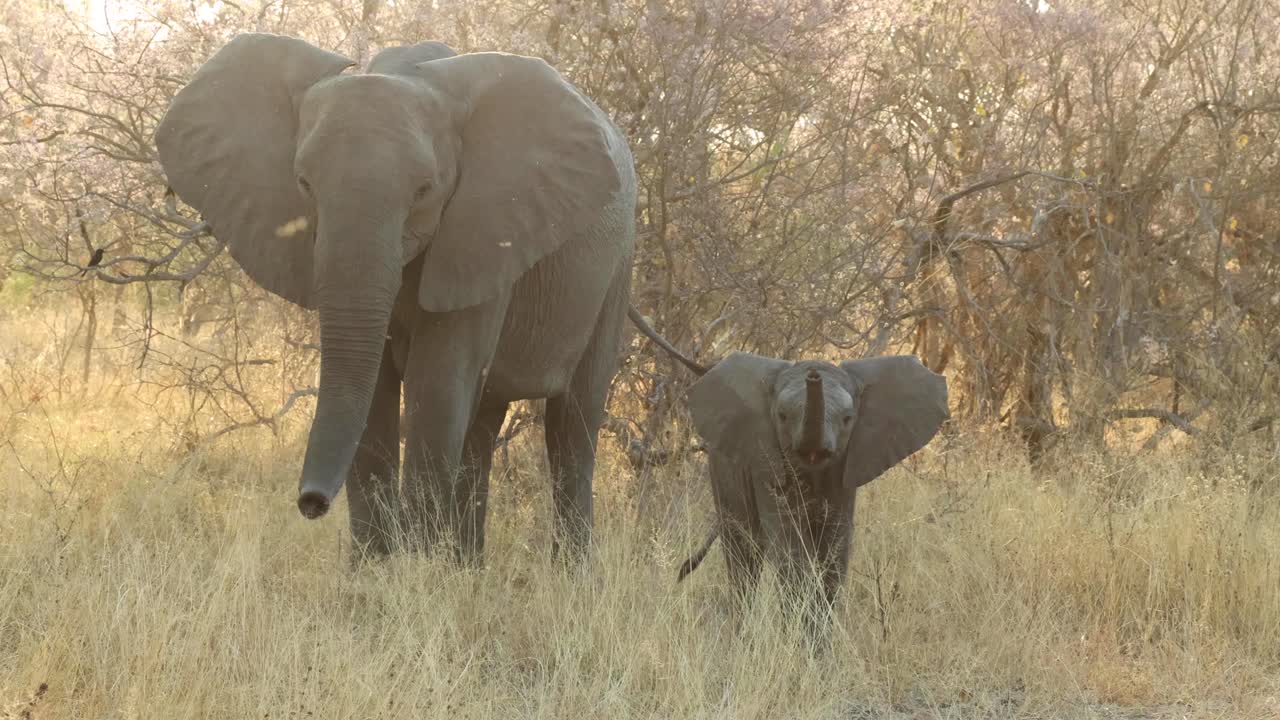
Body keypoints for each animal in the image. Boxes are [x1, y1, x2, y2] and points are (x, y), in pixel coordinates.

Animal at [155, 33, 636, 561]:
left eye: (425, 190)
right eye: (303, 183)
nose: (310, 503)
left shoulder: (482, 231)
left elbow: (438, 383)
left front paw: (417, 572)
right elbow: (375, 395)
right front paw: (376, 573)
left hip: (618, 266)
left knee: (573, 423)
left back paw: (568, 572)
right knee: (483, 424)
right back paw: (466, 569)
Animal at [628, 316, 947, 620]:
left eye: (847, 418)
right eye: (781, 416)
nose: (813, 373)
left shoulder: (845, 471)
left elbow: (835, 554)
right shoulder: (766, 467)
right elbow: (792, 552)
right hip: (723, 469)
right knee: (743, 558)